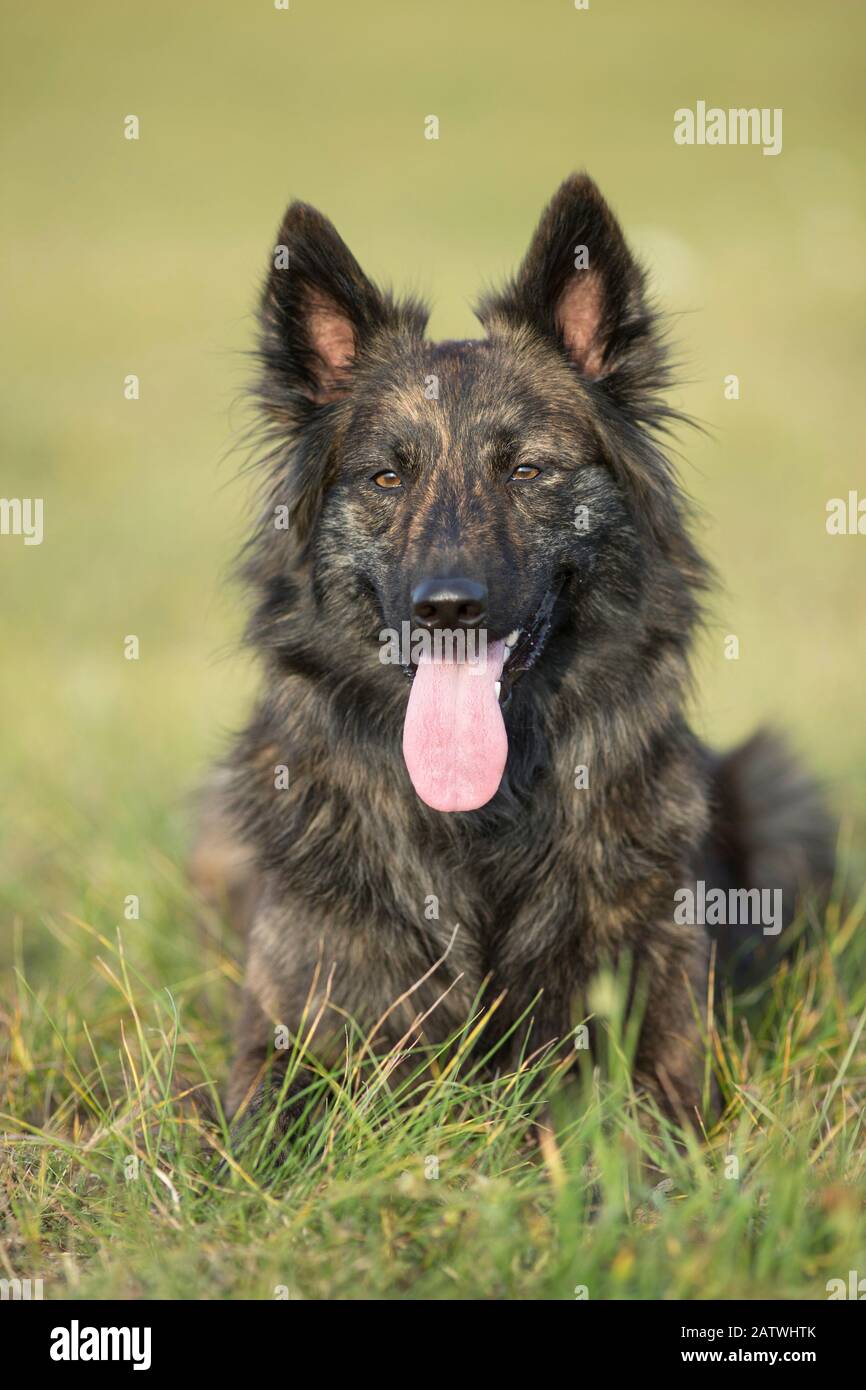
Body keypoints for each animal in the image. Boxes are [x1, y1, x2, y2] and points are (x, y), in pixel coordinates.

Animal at [191, 173, 834, 1145]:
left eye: (527, 471)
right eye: (387, 477)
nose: (448, 608)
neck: (479, 827)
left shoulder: (655, 1037)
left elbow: (636, 1135)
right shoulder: (290, 1031)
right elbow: (260, 1136)